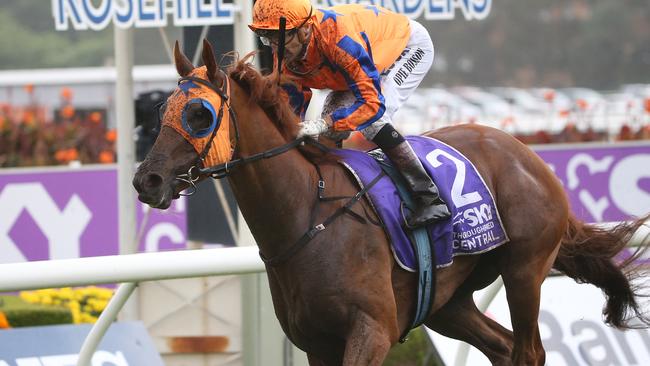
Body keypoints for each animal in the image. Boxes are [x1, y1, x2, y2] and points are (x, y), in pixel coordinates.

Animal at [133, 38, 648, 364]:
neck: (307, 215)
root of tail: (526, 154)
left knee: (529, 351)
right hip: (447, 302)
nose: (146, 180)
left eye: (200, 114)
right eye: (160, 109)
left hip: (525, 270)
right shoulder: (317, 344)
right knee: (502, 348)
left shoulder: (371, 331)